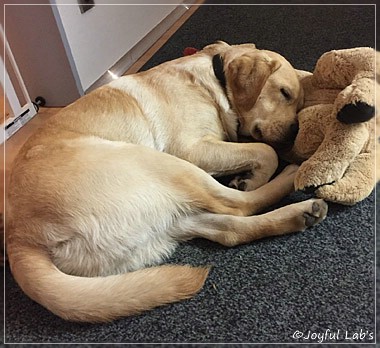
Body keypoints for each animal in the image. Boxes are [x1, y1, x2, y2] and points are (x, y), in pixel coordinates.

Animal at [5, 42, 326, 322]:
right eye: (284, 93)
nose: (294, 134)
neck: (215, 79)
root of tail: (19, 239)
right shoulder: (193, 148)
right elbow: (265, 152)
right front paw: (253, 177)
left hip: (163, 215)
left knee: (230, 230)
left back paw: (301, 213)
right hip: (160, 163)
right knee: (237, 205)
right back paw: (292, 176)